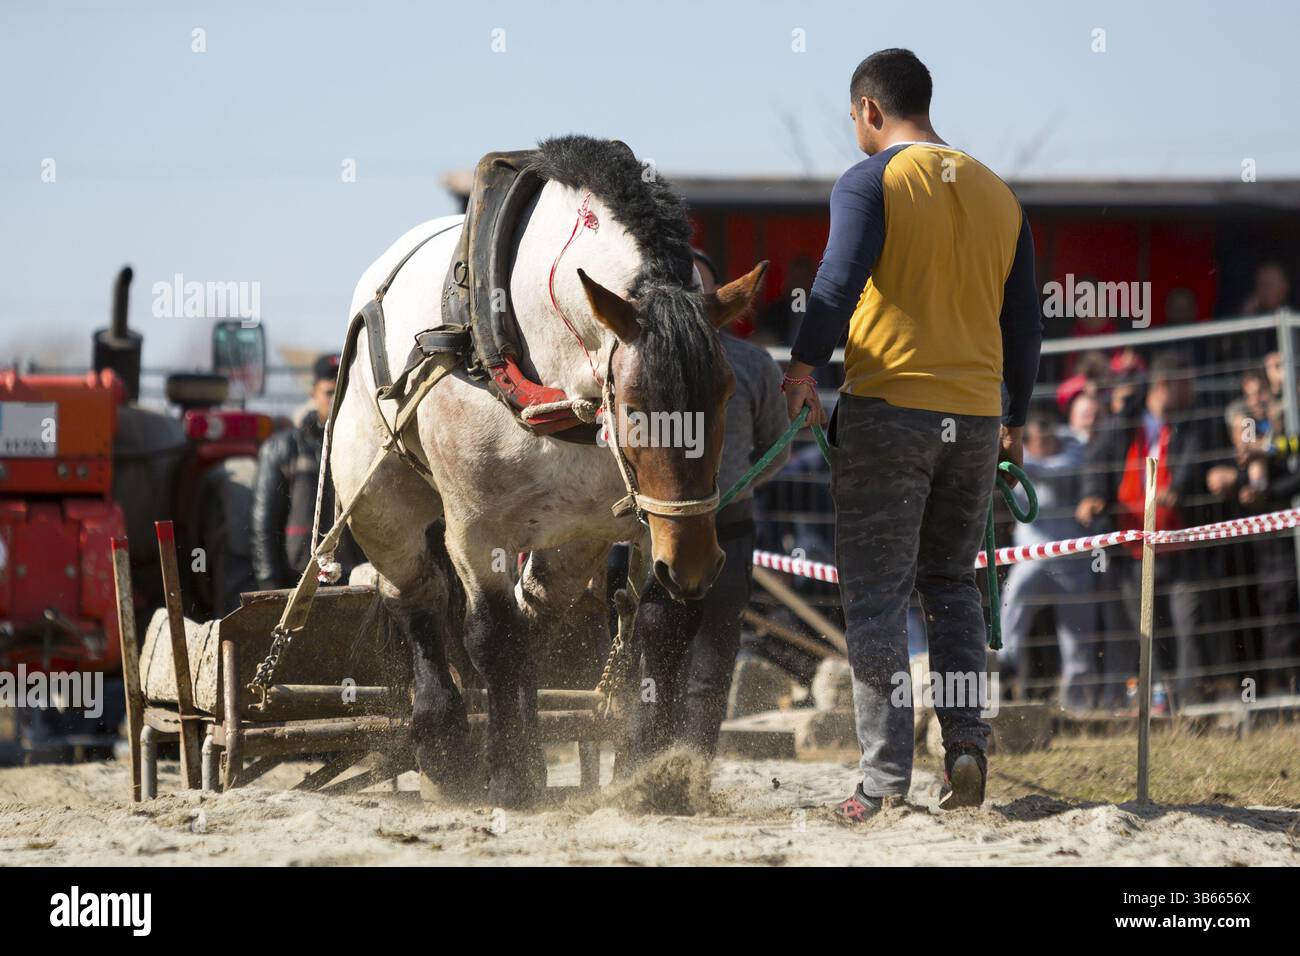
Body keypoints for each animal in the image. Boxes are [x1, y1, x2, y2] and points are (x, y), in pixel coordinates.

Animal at [330, 136, 767, 807]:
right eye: (633, 406)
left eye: (723, 396)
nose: (695, 564)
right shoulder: (475, 528)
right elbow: (491, 635)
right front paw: (510, 775)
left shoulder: (652, 524)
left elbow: (662, 623)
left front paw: (650, 770)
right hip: (379, 502)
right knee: (417, 596)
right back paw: (446, 747)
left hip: (573, 539)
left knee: (534, 610)